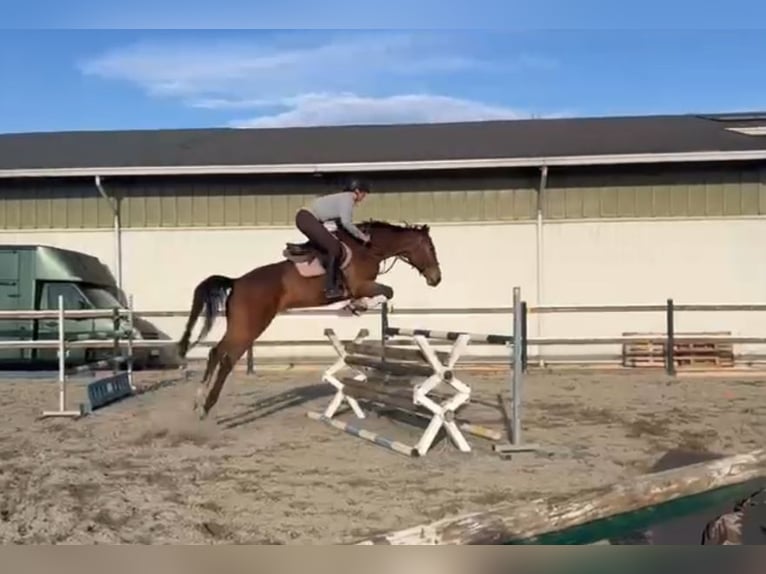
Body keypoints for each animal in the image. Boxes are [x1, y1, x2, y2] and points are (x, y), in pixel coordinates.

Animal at [176, 219, 443, 419]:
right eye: (430, 249)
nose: (436, 278)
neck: (368, 248)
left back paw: (198, 401)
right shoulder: (361, 285)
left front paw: (357, 306)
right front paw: (359, 306)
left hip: (239, 324)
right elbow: (388, 291)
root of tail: (237, 282)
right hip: (251, 326)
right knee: (227, 358)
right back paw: (207, 405)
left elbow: (386, 292)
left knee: (216, 352)